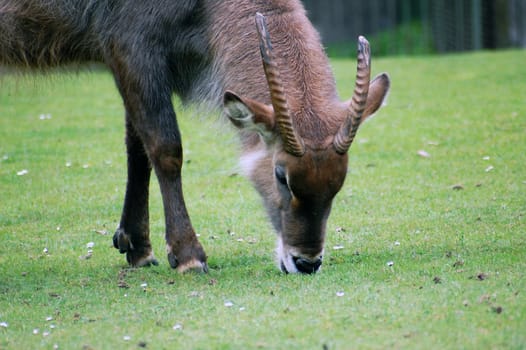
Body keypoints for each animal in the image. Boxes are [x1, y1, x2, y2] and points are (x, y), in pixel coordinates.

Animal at [0, 0, 388, 274]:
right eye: (282, 176)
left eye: (339, 182)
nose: (306, 263)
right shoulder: (131, 49)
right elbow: (164, 148)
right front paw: (188, 255)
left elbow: (137, 148)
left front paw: (137, 248)